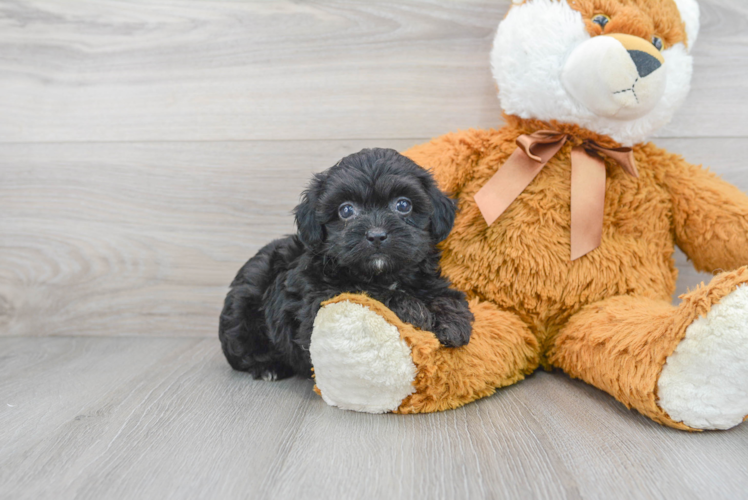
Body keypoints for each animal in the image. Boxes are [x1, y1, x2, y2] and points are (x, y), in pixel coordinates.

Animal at [218, 146, 474, 380]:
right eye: (346, 210)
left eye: (403, 205)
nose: (376, 235)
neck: (382, 274)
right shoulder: (319, 302)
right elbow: (367, 293)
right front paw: (412, 308)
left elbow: (444, 294)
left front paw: (453, 321)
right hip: (241, 316)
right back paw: (268, 368)